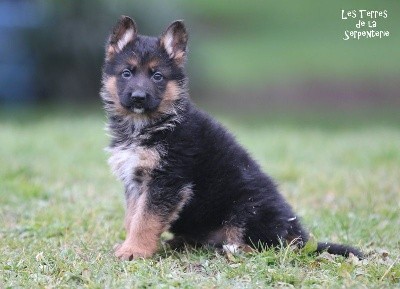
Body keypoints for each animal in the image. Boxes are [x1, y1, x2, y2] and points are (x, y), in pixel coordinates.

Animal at [100, 15, 362, 258]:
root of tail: (299, 235)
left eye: (157, 76)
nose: (138, 97)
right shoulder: (136, 182)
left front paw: (135, 250)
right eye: (126, 73)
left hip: (247, 207)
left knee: (271, 246)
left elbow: (146, 219)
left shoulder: (167, 180)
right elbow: (133, 216)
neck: (147, 125)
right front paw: (129, 245)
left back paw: (233, 248)